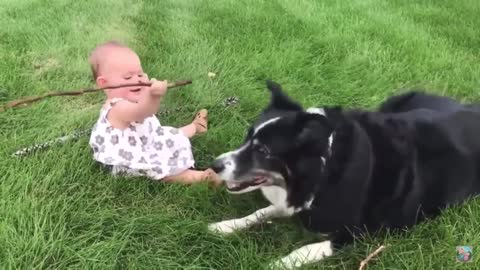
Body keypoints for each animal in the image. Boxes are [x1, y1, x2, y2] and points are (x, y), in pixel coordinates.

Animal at [208, 81, 480, 268]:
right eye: (247, 137)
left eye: (262, 151)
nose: (214, 165)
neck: (324, 170)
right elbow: (261, 212)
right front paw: (225, 226)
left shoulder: (358, 233)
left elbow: (306, 250)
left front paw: (277, 264)